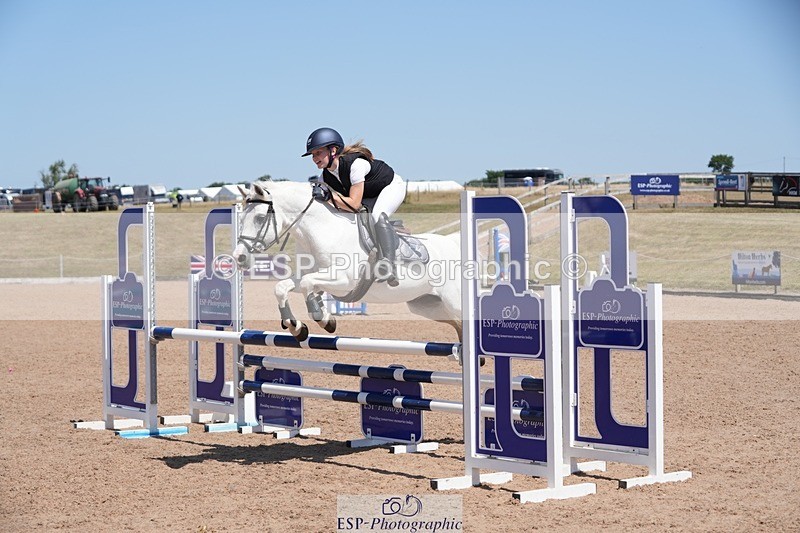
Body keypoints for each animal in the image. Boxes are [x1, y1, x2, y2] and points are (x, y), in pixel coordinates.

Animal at [232, 181, 463, 342]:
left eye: (259, 219)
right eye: (241, 219)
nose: (239, 257)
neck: (321, 230)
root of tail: (454, 243)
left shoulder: (344, 280)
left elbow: (307, 285)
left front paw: (324, 318)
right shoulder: (317, 276)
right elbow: (282, 287)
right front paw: (296, 327)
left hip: (453, 302)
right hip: (426, 305)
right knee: (458, 325)